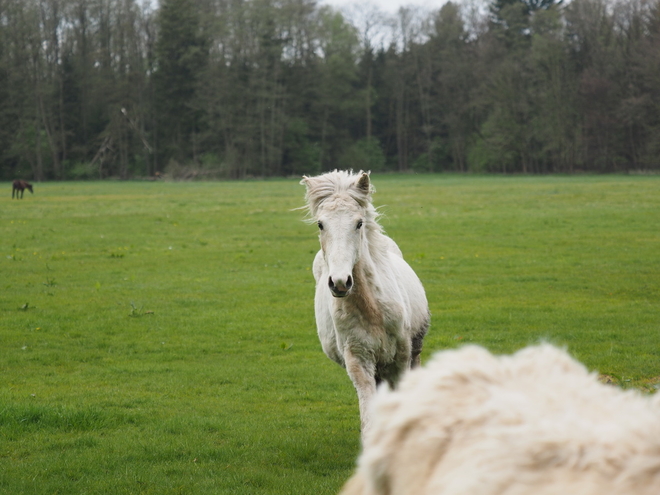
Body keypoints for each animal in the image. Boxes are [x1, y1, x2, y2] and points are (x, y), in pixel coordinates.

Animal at [302, 170, 430, 438]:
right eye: (320, 224)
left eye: (359, 223)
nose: (340, 283)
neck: (371, 309)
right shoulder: (358, 359)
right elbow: (369, 412)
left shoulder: (401, 357)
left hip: (414, 350)